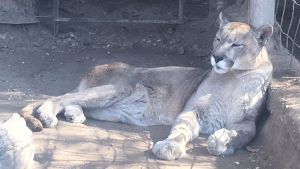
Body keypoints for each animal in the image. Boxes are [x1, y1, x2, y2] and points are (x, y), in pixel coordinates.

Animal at [19, 13, 274, 160]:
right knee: (60, 96)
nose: (216, 56)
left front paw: (222, 142)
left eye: (236, 44)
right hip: (118, 88)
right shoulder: (193, 110)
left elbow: (244, 135)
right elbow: (181, 130)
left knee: (75, 100)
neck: (234, 77)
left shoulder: (248, 121)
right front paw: (170, 147)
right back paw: (48, 114)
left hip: (110, 108)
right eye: (218, 39)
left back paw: (74, 115)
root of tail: (97, 66)